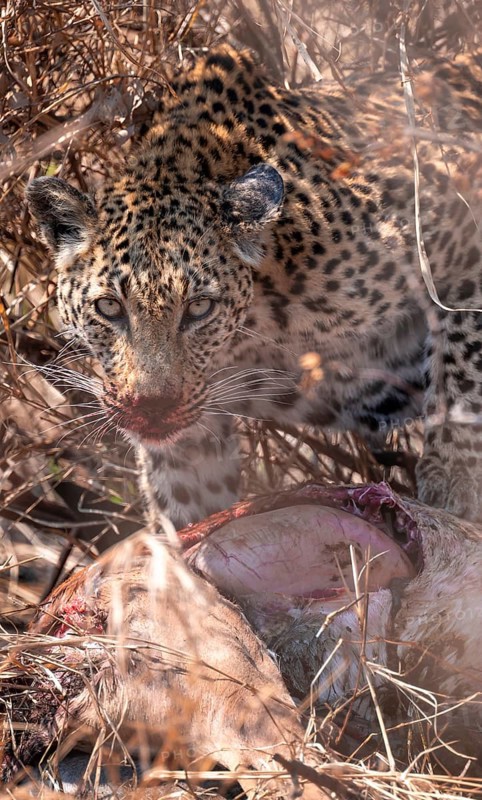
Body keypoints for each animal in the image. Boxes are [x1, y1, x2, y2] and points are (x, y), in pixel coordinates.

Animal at [26, 45, 482, 530]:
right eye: (110, 308)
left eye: (199, 308)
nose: (151, 407)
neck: (255, 328)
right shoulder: (190, 433)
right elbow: (186, 498)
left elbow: (462, 366)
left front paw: (455, 482)